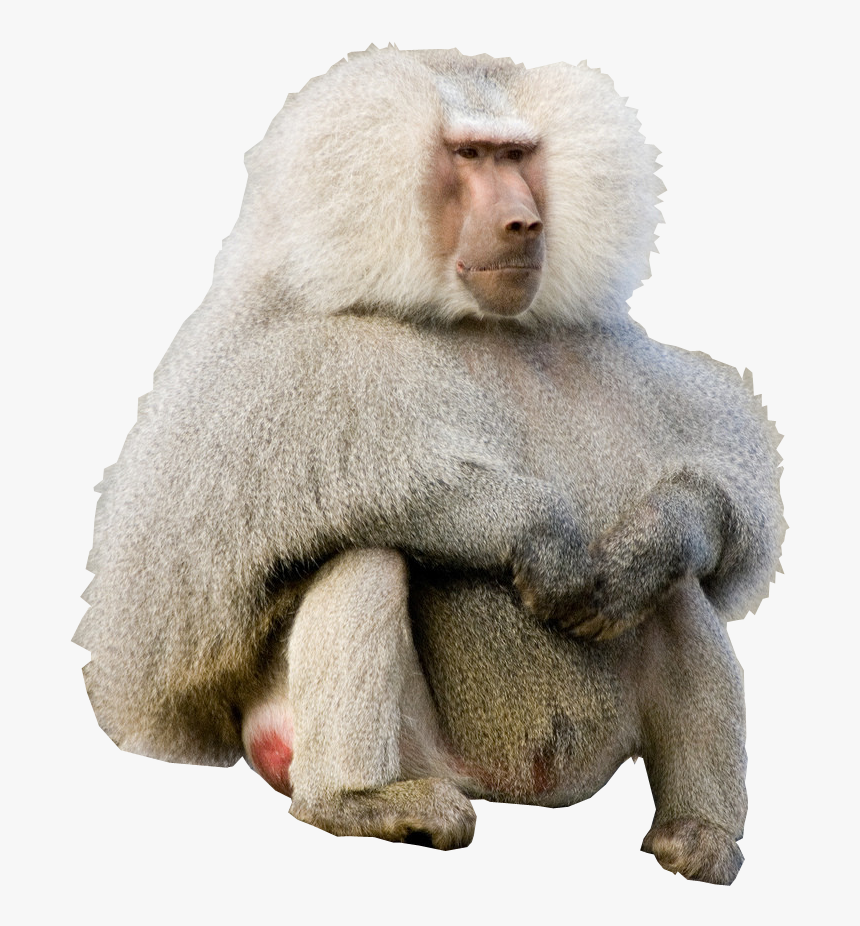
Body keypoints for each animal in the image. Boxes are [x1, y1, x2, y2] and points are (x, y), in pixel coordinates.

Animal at [74, 46, 784, 885]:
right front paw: (543, 537)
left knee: (676, 593)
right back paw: (364, 804)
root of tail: (512, 788)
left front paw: (649, 540)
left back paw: (700, 837)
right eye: (469, 155)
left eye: (518, 155)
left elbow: (725, 493)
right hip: (392, 749)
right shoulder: (275, 364)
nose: (524, 222)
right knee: (366, 553)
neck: (475, 323)